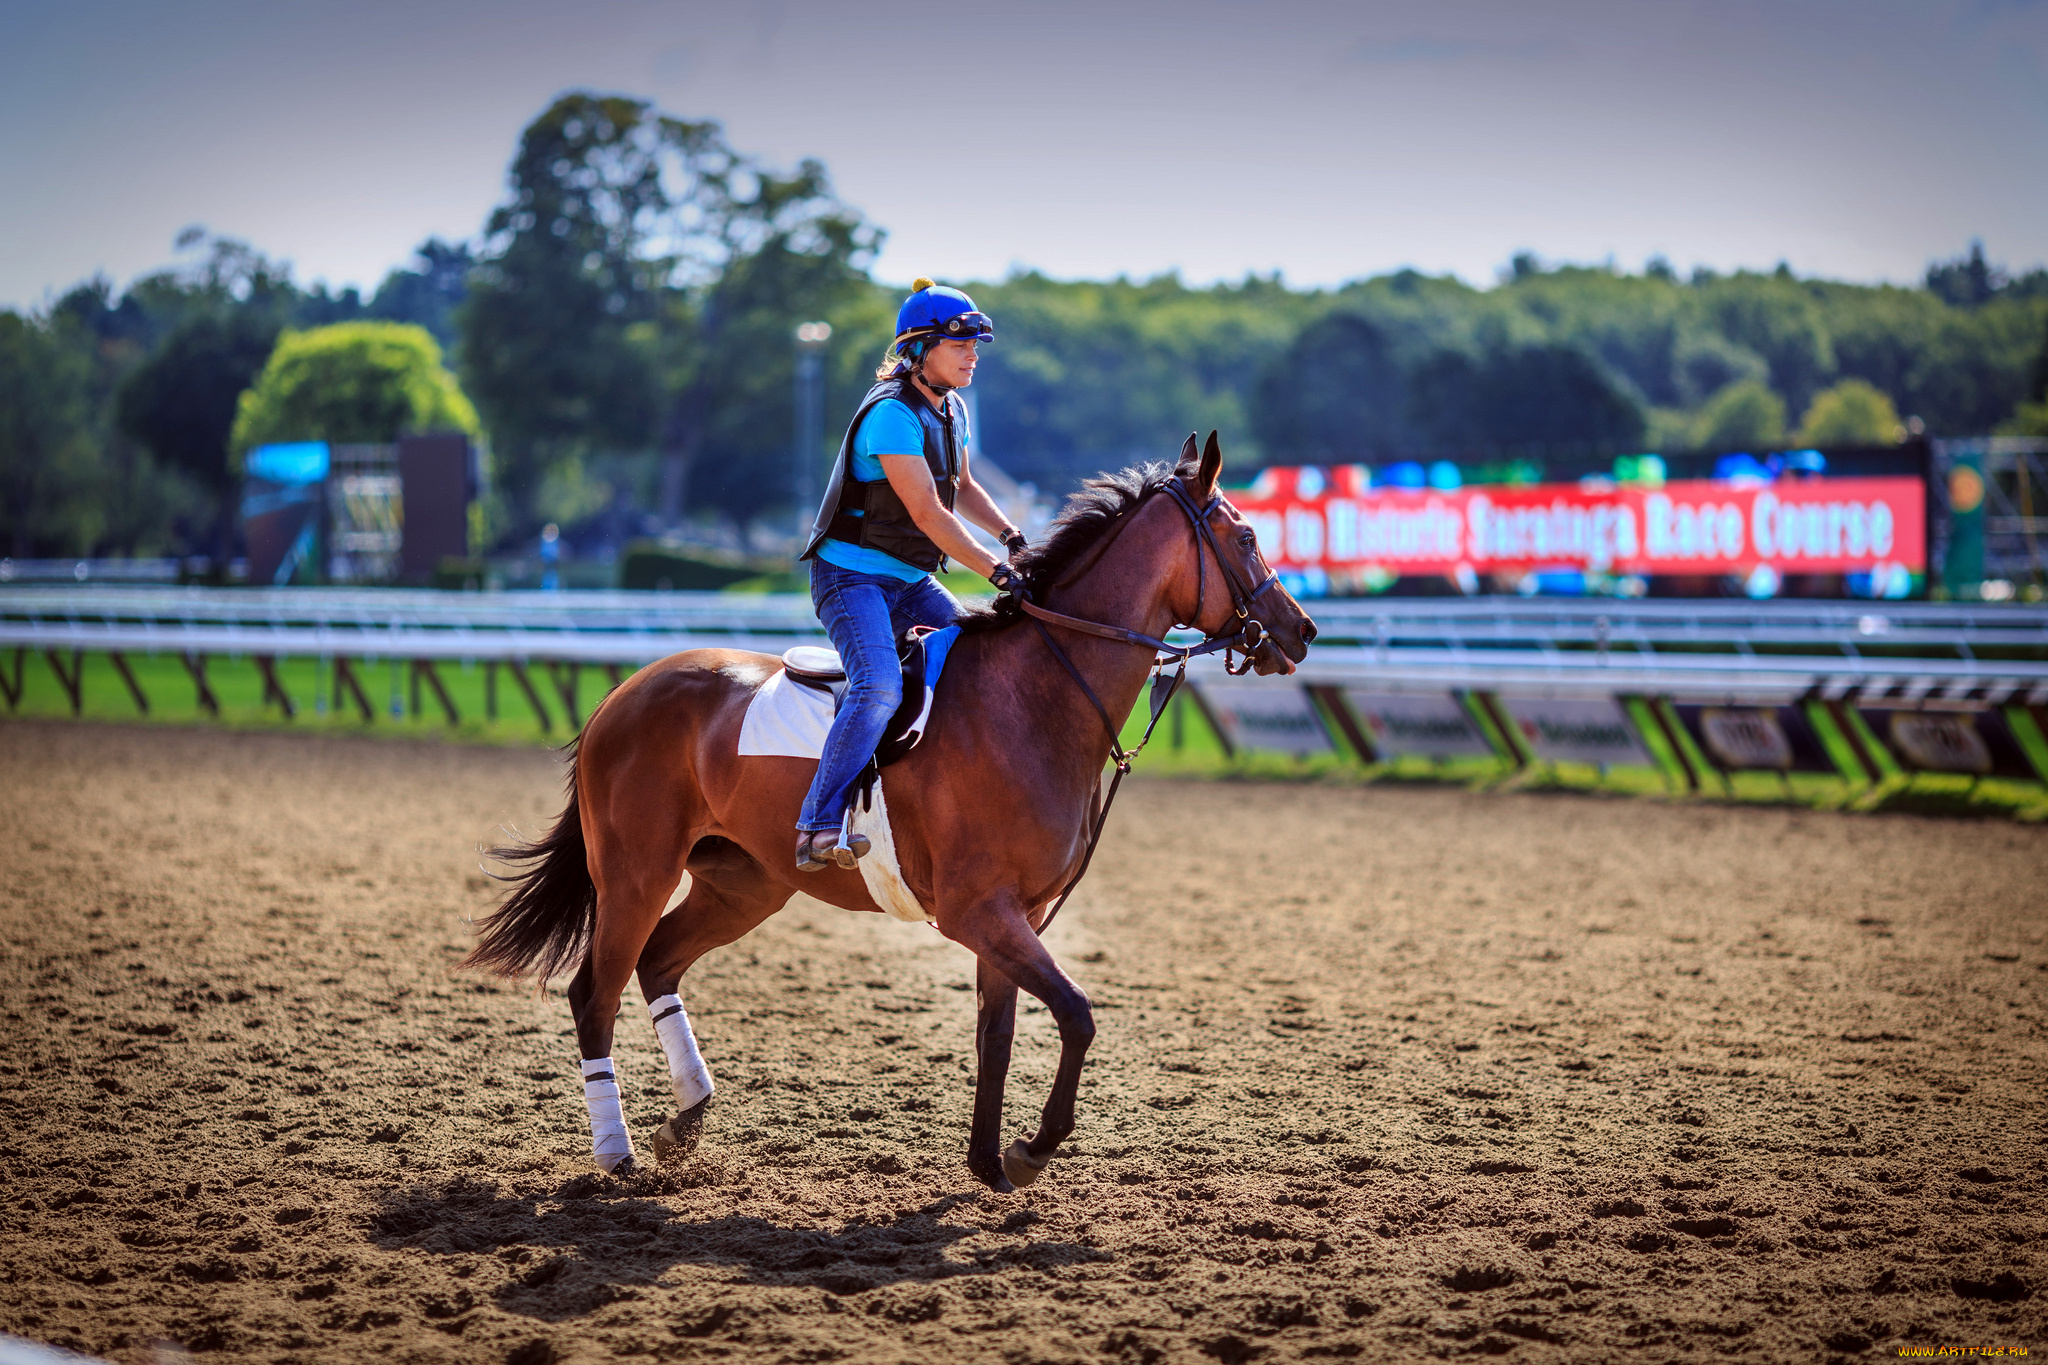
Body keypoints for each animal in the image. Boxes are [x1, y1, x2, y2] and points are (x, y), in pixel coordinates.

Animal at [468, 431, 1310, 1186]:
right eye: (1246, 534)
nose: (1300, 629)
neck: (1033, 698)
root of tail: (621, 694)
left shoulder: (1018, 914)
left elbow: (998, 1033)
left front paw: (988, 1160)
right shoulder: (978, 910)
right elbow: (1075, 1014)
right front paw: (1030, 1149)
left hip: (743, 883)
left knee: (659, 961)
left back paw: (688, 1114)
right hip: (637, 874)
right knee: (595, 991)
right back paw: (617, 1152)